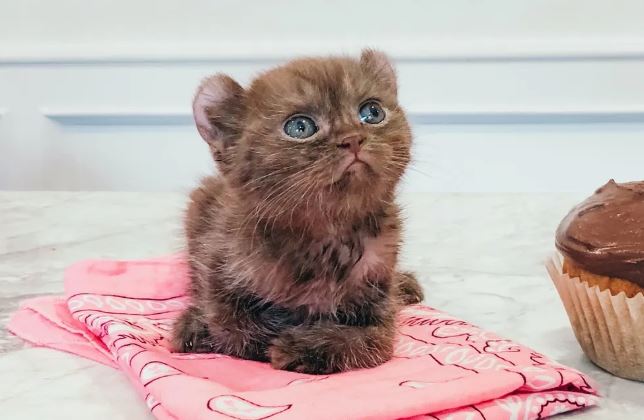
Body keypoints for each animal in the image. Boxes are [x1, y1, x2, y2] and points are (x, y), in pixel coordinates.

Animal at [172, 50, 422, 374]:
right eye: (300, 128)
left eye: (372, 112)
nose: (353, 138)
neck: (327, 234)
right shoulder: (217, 259)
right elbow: (232, 327)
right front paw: (197, 326)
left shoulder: (380, 295)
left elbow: (372, 342)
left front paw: (306, 345)